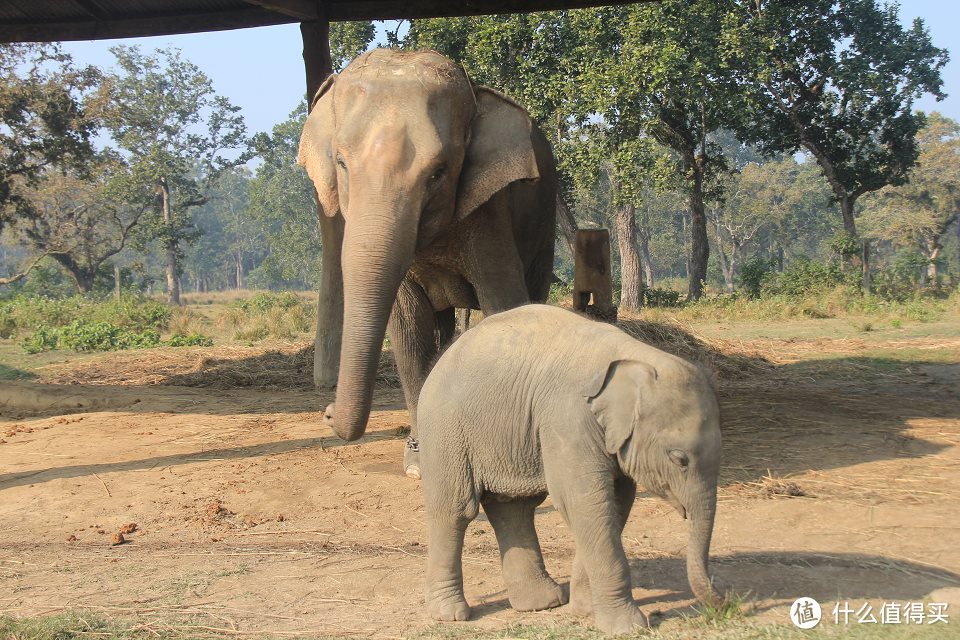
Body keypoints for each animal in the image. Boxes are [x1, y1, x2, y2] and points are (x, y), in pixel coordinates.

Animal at [298, 50, 556, 478]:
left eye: (438, 172)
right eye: (341, 162)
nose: (327, 411)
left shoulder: (490, 216)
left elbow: (504, 304)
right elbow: (408, 327)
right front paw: (420, 463)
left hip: (544, 222)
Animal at [420, 304, 720, 636]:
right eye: (679, 459)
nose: (723, 603)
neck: (635, 356)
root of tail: (442, 358)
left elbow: (614, 502)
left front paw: (586, 610)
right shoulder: (568, 419)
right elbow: (582, 501)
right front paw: (627, 627)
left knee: (513, 508)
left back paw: (542, 603)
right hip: (446, 430)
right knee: (455, 509)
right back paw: (451, 614)